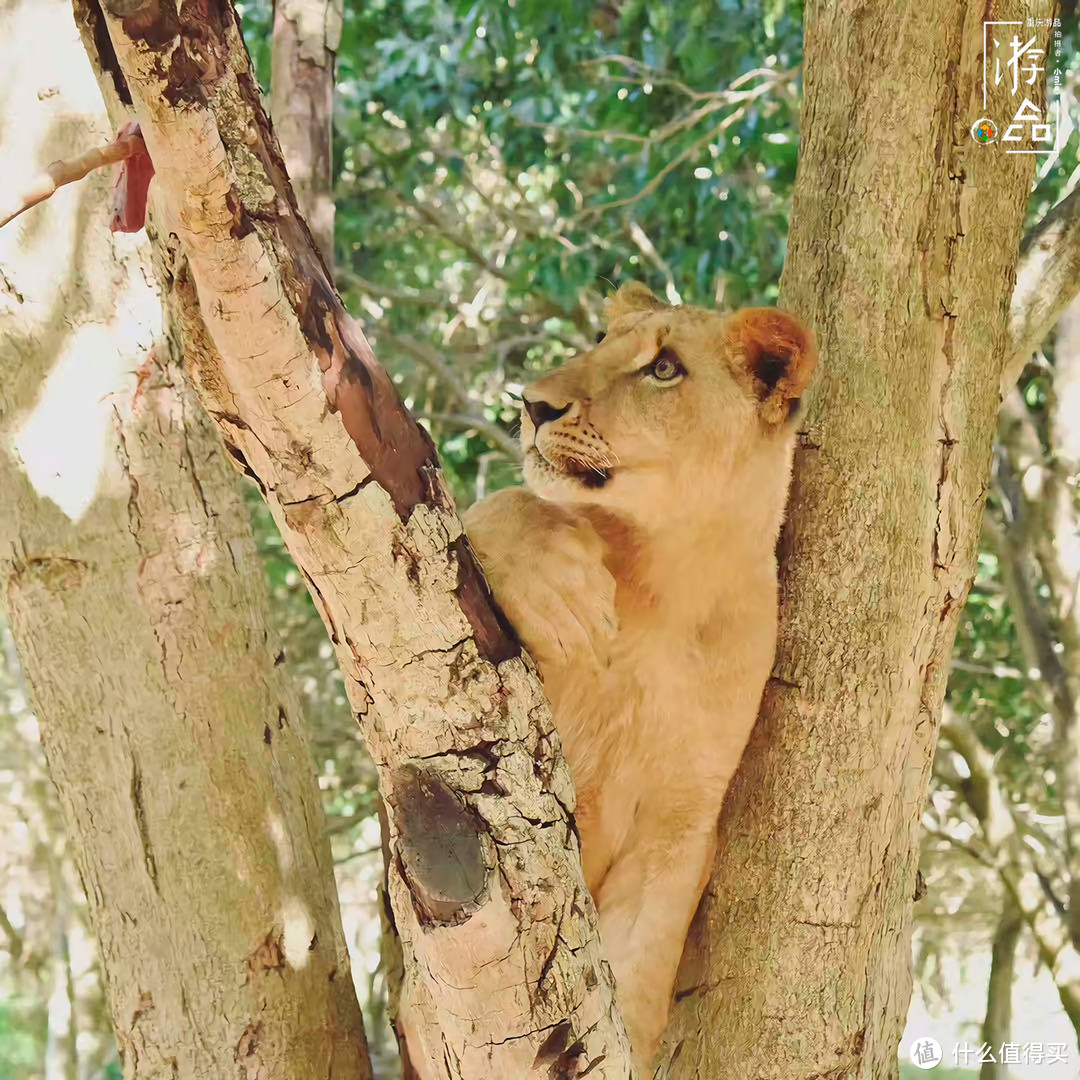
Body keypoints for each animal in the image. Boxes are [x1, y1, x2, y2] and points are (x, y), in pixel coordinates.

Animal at [460, 282, 812, 1075]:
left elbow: (641, 960)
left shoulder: (683, 817)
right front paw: (560, 587)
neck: (668, 583)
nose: (532, 405)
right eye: (599, 342)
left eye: (664, 369)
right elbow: (499, 506)